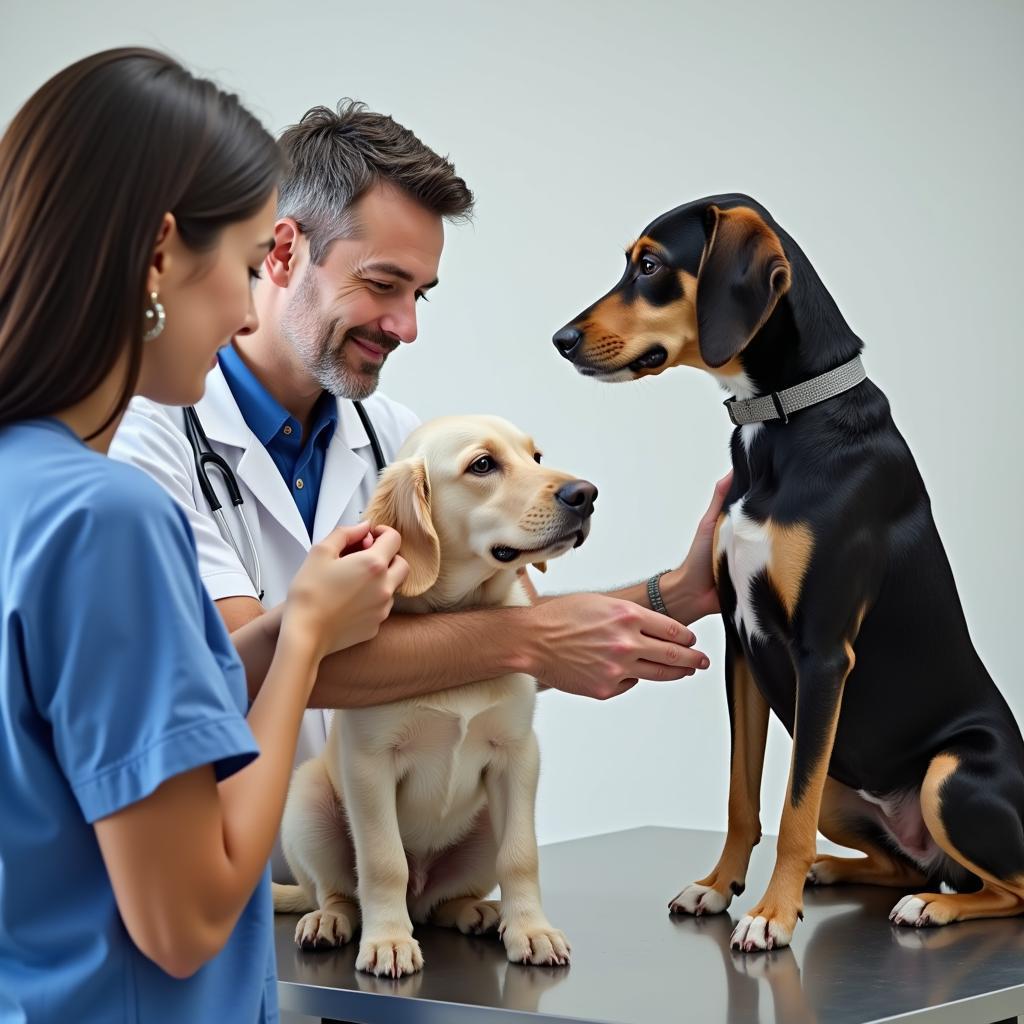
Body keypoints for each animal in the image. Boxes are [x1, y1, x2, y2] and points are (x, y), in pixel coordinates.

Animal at [272, 413, 598, 974]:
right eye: (483, 465)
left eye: (536, 457)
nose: (586, 494)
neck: (458, 619)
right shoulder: (370, 764)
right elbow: (382, 863)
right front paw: (388, 940)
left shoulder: (517, 756)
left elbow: (522, 855)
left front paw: (531, 930)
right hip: (309, 802)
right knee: (338, 889)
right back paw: (331, 921)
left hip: (483, 825)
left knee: (439, 901)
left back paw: (478, 912)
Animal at [557, 193, 1024, 950]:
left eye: (651, 265)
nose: (561, 339)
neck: (782, 417)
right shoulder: (742, 646)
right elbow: (743, 797)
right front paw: (719, 886)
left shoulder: (822, 654)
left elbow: (788, 810)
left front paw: (771, 913)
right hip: (843, 780)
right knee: (906, 863)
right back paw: (837, 871)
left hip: (947, 774)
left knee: (1002, 887)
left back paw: (932, 906)